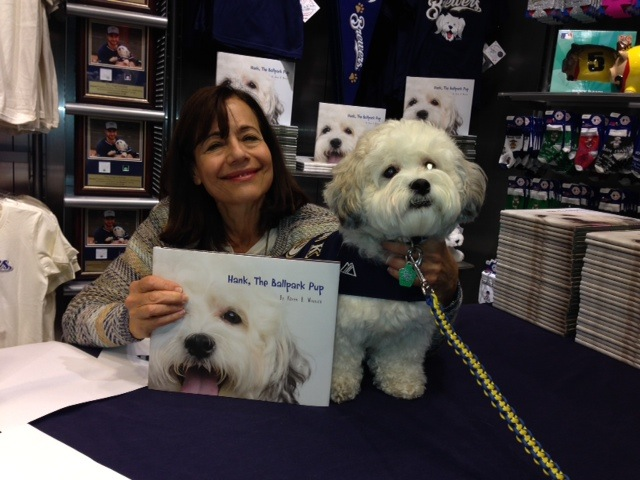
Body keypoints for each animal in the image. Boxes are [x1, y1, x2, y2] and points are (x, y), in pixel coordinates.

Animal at [320, 118, 484, 404]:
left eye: (430, 165)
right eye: (390, 171)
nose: (421, 184)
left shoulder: (412, 330)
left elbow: (402, 359)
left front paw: (402, 383)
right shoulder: (343, 327)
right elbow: (341, 359)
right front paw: (337, 385)